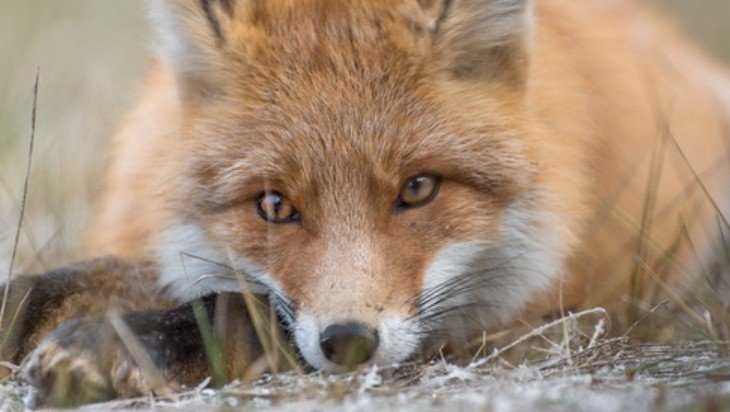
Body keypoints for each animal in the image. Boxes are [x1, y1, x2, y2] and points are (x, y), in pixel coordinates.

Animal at [3, 0, 730, 406]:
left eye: (418, 189)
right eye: (274, 205)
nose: (349, 341)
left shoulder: (490, 326)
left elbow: (240, 310)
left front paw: (121, 344)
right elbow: (87, 278)